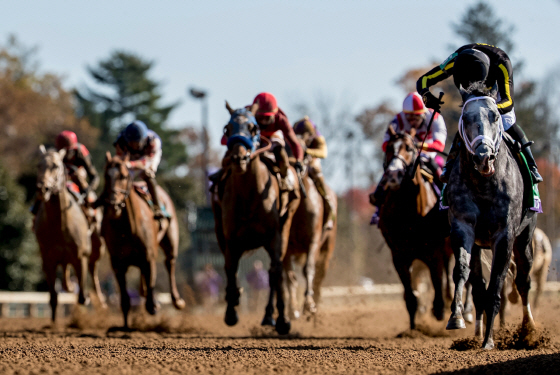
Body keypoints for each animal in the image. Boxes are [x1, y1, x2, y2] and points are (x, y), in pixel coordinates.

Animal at [34, 145, 103, 322]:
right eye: (39, 165)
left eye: (56, 166)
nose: (42, 188)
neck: (60, 225)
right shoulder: (48, 259)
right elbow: (53, 296)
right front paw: (53, 324)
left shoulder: (80, 257)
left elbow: (82, 296)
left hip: (96, 248)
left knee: (93, 269)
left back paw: (102, 301)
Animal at [101, 153, 185, 328]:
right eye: (106, 176)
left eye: (123, 176)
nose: (113, 205)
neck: (128, 228)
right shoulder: (117, 263)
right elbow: (125, 300)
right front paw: (125, 327)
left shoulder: (148, 255)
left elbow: (151, 297)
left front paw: (154, 304)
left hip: (170, 239)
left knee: (169, 262)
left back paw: (177, 300)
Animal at [211, 103, 302, 334]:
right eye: (227, 129)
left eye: (253, 128)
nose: (239, 158)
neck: (249, 194)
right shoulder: (231, 239)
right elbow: (230, 269)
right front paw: (231, 310)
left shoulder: (275, 236)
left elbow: (275, 272)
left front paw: (282, 319)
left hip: (286, 226)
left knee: (275, 271)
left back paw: (270, 315)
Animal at [374, 129, 452, 328]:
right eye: (389, 148)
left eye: (409, 148)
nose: (393, 176)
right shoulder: (399, 256)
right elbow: (410, 298)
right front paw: (412, 329)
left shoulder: (434, 252)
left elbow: (438, 287)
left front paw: (439, 311)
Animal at [444, 83, 536, 352]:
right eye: (465, 118)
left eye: (495, 116)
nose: (483, 157)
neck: (484, 183)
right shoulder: (463, 226)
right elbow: (462, 272)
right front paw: (457, 318)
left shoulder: (504, 236)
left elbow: (497, 285)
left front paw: (489, 341)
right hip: (479, 245)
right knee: (478, 288)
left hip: (525, 239)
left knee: (524, 281)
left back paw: (529, 330)